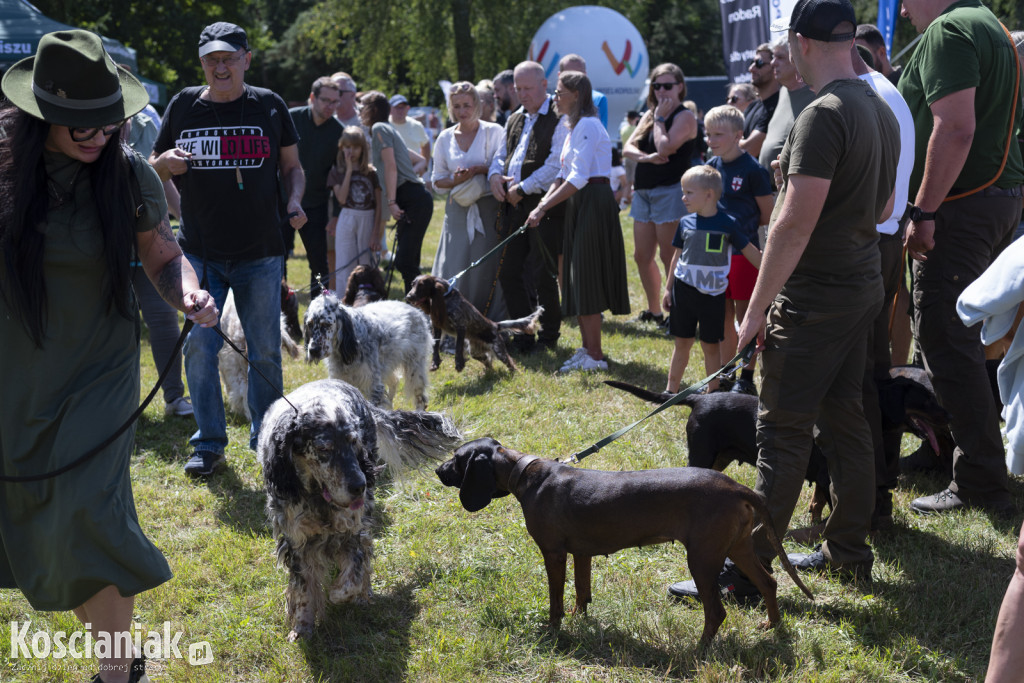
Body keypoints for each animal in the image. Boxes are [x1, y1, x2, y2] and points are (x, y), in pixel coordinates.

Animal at [258, 378, 462, 643]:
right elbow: (304, 590)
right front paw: (302, 628)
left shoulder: (353, 531)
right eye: (324, 449)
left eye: (354, 443)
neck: (318, 498)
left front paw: (342, 594)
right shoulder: (297, 542)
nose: (359, 485)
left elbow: (352, 575)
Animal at [303, 292, 432, 411]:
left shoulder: (373, 386)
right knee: (394, 383)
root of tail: (416, 311)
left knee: (420, 399)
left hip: (415, 371)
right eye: (309, 324)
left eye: (326, 324)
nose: (313, 350)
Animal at [403, 274, 544, 374]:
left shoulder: (461, 326)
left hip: (499, 350)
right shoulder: (437, 326)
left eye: (421, 286)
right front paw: (435, 363)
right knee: (488, 361)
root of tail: (495, 325)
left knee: (510, 363)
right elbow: (436, 347)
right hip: (476, 353)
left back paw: (514, 374)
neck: (446, 298)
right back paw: (487, 373)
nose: (408, 297)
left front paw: (459, 364)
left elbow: (458, 347)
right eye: (412, 284)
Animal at [436, 438, 811, 647]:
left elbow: (556, 601)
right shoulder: (581, 553)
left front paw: (553, 629)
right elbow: (582, 592)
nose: (437, 471)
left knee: (717, 612)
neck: (526, 473)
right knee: (769, 582)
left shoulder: (554, 554)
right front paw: (580, 619)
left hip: (702, 560)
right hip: (738, 548)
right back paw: (773, 626)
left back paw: (699, 649)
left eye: (456, 458)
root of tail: (737, 487)